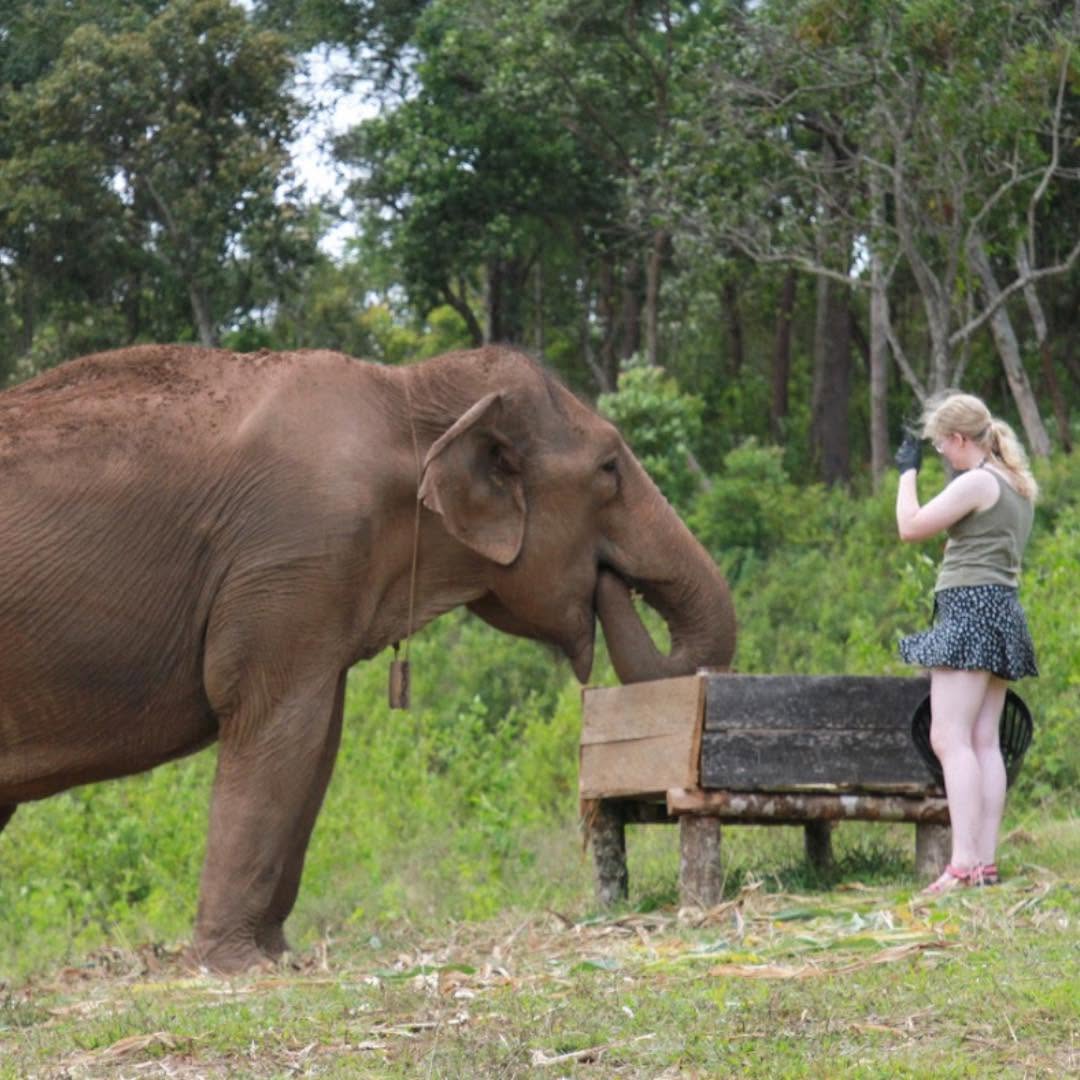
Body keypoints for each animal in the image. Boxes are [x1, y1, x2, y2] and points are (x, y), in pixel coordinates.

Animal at [0, 344, 735, 972]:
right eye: (609, 469)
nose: (611, 583)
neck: (404, 395)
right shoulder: (292, 561)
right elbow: (278, 728)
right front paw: (236, 968)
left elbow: (318, 743)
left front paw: (280, 955)